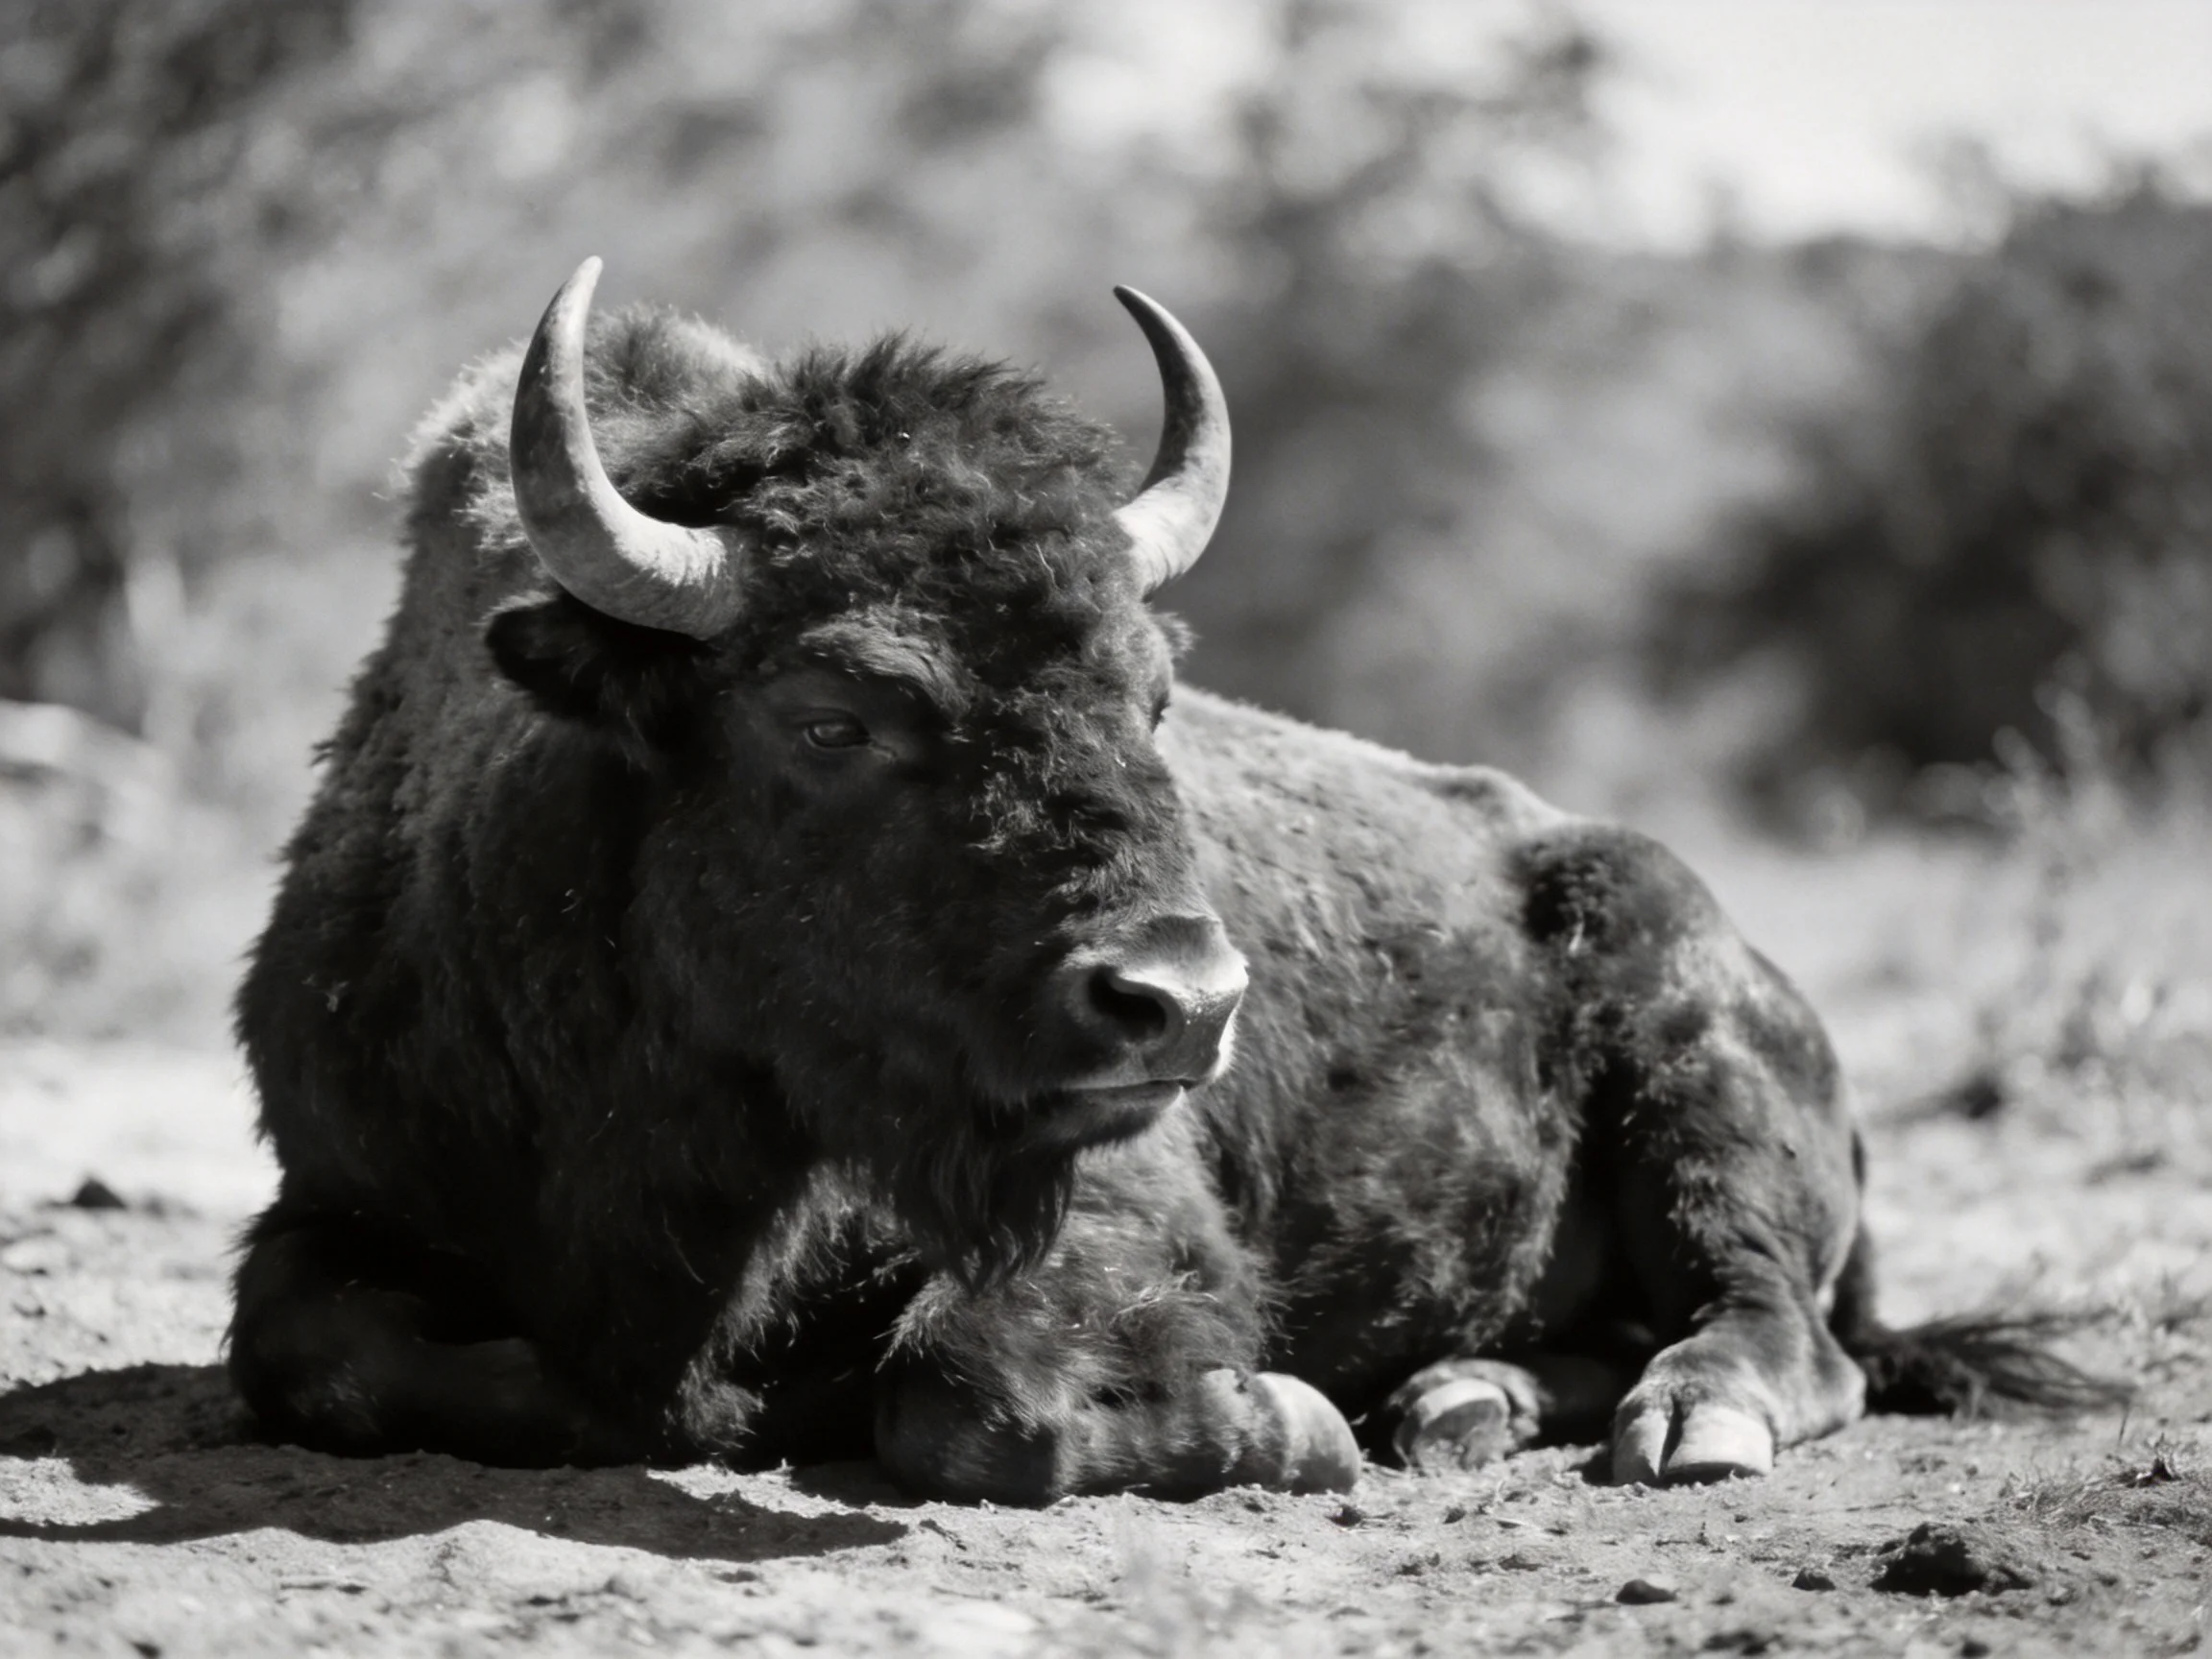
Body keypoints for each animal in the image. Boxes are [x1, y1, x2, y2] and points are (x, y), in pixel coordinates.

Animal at [229, 260, 2107, 1500]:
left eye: (1148, 694)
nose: (1179, 1002)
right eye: (831, 710)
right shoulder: (343, 1195)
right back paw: (1459, 1403)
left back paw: (1662, 1423)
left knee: (1775, 1322)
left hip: (1708, 1098)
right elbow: (320, 1356)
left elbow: (962, 1394)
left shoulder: (1113, 1209)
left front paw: (1285, 1421)